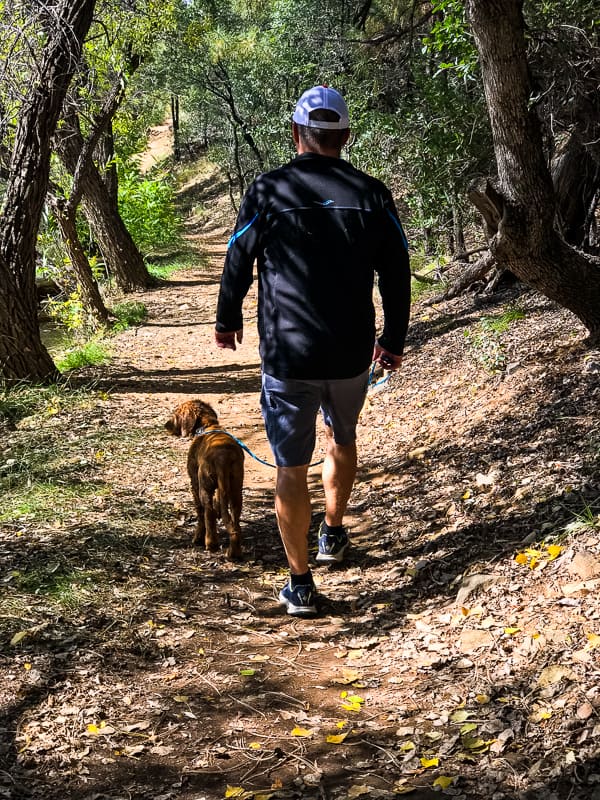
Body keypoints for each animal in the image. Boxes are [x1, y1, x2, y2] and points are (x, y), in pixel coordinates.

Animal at [165, 404, 245, 560]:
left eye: (176, 414)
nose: (165, 425)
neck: (208, 424)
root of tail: (222, 457)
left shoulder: (194, 482)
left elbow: (200, 511)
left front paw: (198, 537)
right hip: (236, 487)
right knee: (235, 520)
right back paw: (234, 551)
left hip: (204, 484)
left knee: (208, 512)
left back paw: (210, 543)